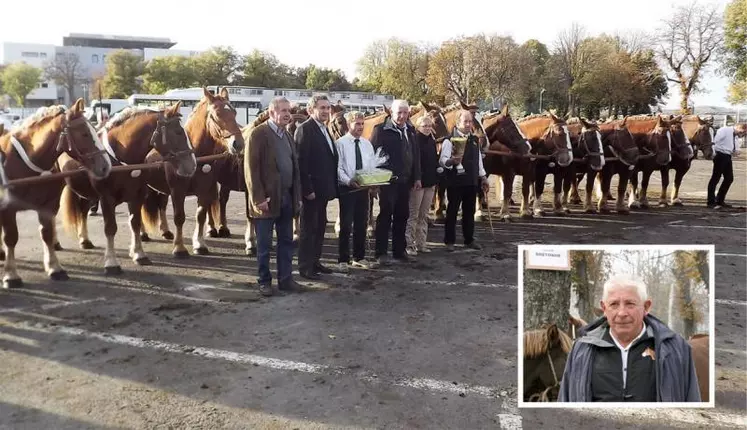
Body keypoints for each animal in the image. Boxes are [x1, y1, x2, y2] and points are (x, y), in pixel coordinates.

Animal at [0, 100, 112, 288]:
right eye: (84, 133)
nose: (105, 166)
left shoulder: (47, 205)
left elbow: (46, 233)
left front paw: (54, 268)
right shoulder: (8, 209)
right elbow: (11, 238)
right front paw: (11, 275)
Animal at [59, 102, 196, 274]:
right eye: (178, 132)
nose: (192, 165)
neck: (120, 161)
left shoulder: (136, 196)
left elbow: (135, 223)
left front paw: (139, 254)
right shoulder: (106, 199)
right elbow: (110, 228)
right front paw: (111, 263)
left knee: (83, 211)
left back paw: (85, 240)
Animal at [140, 85, 245, 256]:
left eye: (234, 112)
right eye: (216, 115)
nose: (238, 144)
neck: (195, 156)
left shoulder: (203, 189)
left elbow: (200, 215)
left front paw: (200, 244)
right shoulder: (178, 191)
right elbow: (179, 217)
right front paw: (179, 248)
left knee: (162, 205)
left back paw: (166, 232)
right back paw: (143, 234)